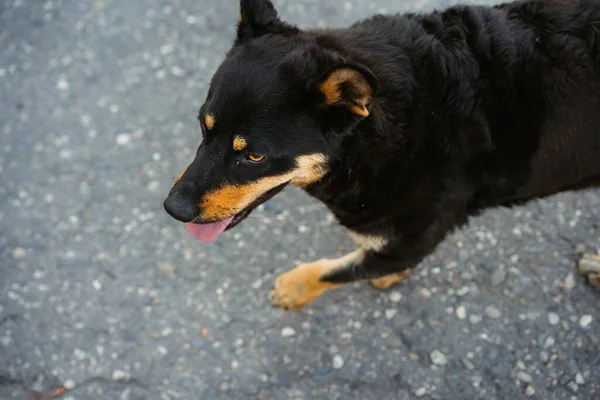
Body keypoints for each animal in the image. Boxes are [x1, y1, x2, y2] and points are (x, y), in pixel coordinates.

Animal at [163, 0, 600, 310]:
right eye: (204, 126)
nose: (172, 209)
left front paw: (294, 288)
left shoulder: (412, 237)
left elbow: (338, 270)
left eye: (253, 156)